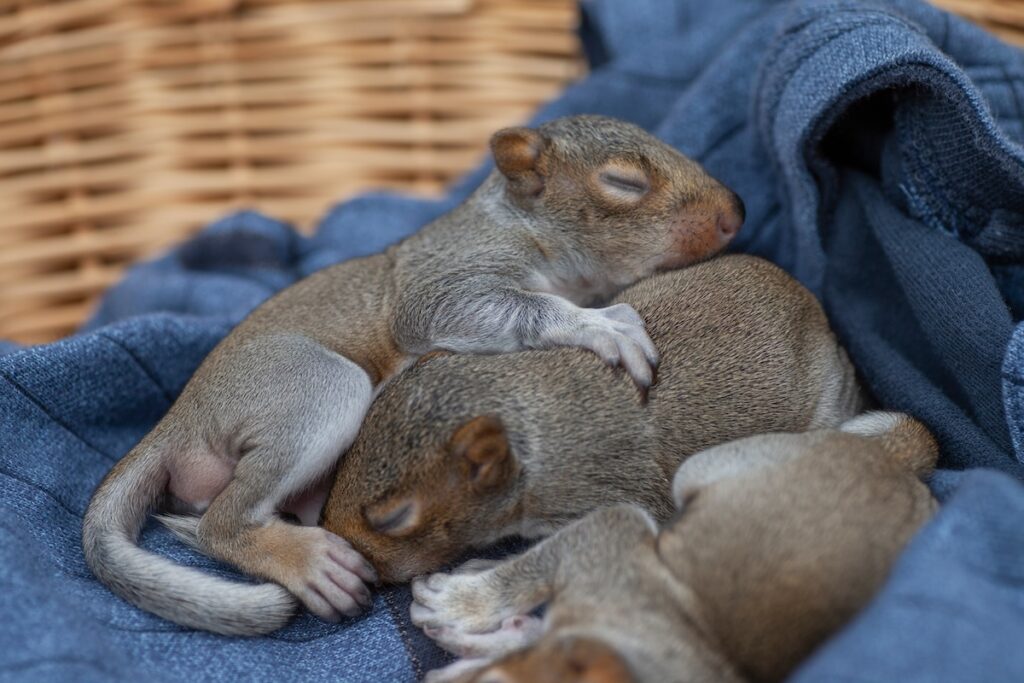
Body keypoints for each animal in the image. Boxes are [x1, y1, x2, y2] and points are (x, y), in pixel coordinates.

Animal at [81, 115, 745, 636]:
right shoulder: (441, 281)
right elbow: (490, 307)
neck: (515, 223)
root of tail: (179, 417)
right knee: (222, 521)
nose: (736, 213)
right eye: (623, 182)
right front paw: (601, 325)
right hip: (312, 385)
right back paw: (310, 562)